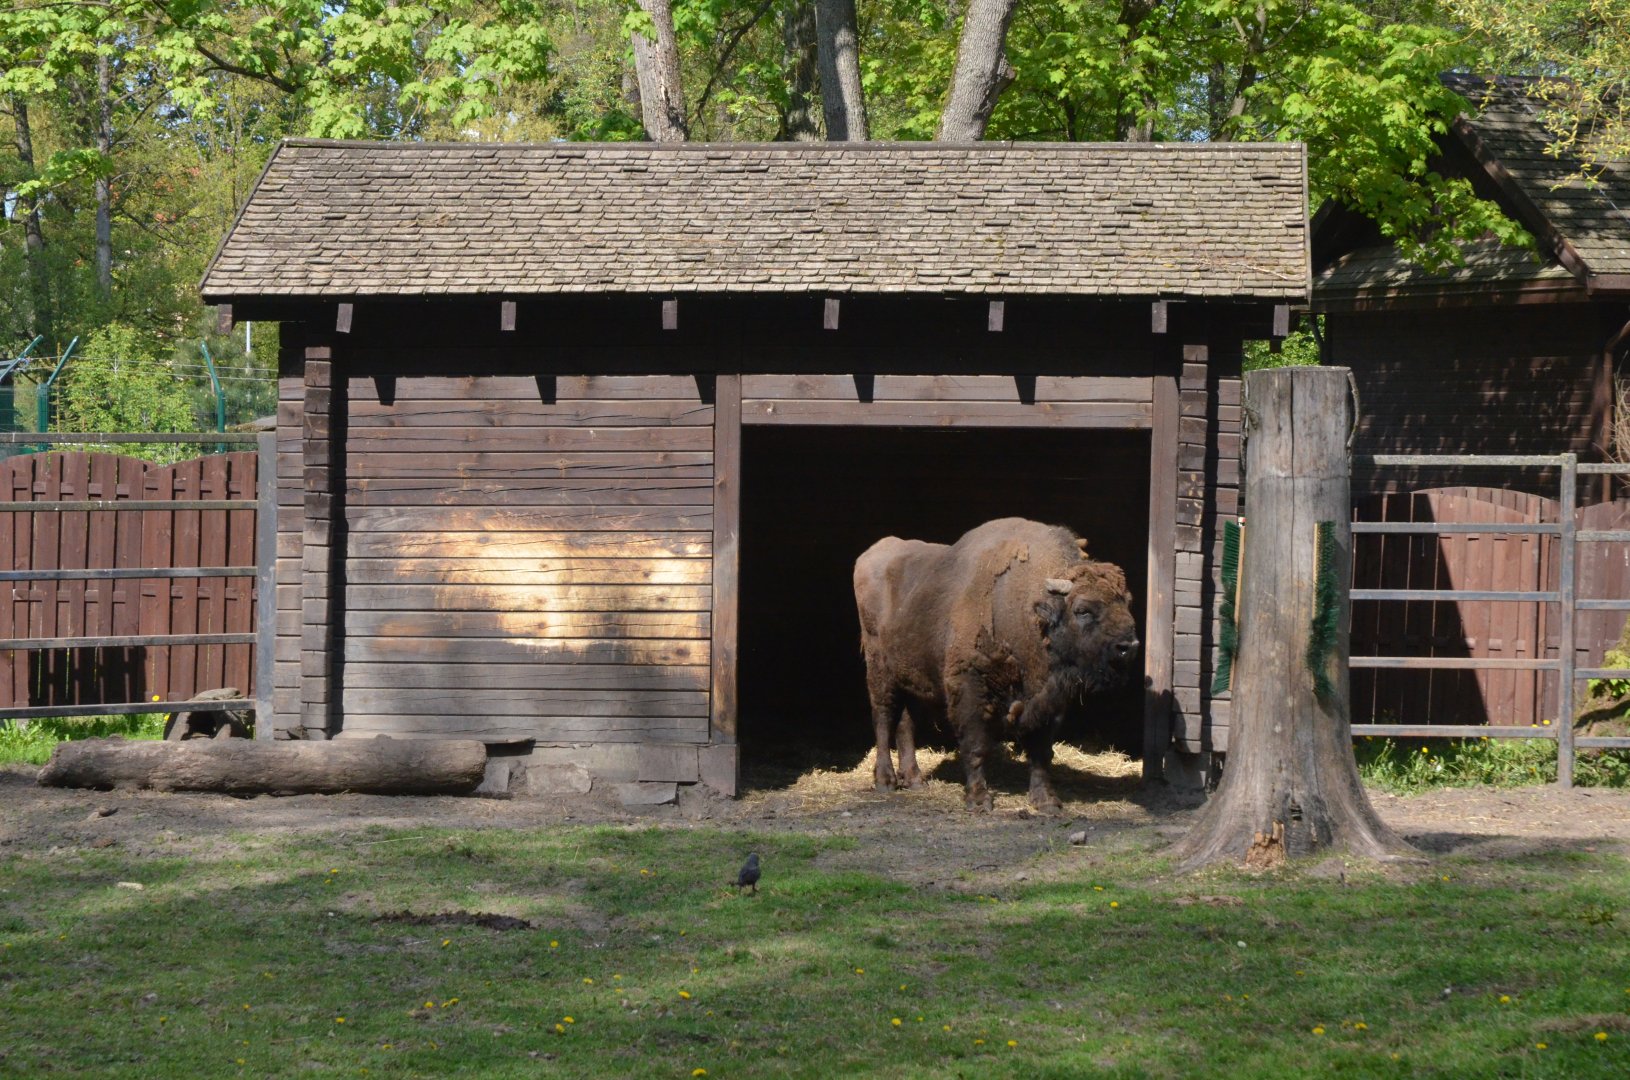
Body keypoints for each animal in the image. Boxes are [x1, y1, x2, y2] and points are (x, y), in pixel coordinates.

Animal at [853, 518, 1140, 812]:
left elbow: (1041, 752)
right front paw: (979, 800)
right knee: (883, 718)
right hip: (879, 671)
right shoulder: (970, 689)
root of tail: (870, 555)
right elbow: (976, 746)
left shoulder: (1048, 700)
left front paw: (1046, 802)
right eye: (1082, 610)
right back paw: (885, 781)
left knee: (906, 722)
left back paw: (915, 780)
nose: (1129, 646)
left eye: (1127, 602)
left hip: (912, 677)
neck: (1026, 608)